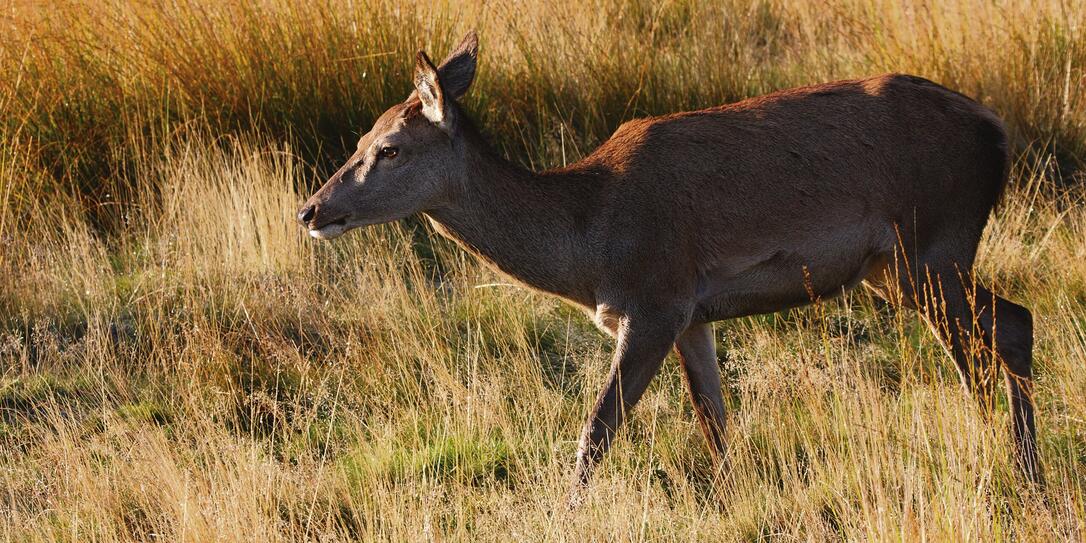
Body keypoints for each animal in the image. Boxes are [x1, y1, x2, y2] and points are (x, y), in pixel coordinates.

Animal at [297, 30, 1042, 488]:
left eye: (390, 147)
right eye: (359, 138)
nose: (311, 210)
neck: (590, 240)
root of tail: (998, 132)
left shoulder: (655, 301)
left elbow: (596, 429)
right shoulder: (695, 314)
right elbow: (716, 425)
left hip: (934, 245)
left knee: (1009, 327)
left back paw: (1022, 472)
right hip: (896, 270)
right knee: (981, 349)